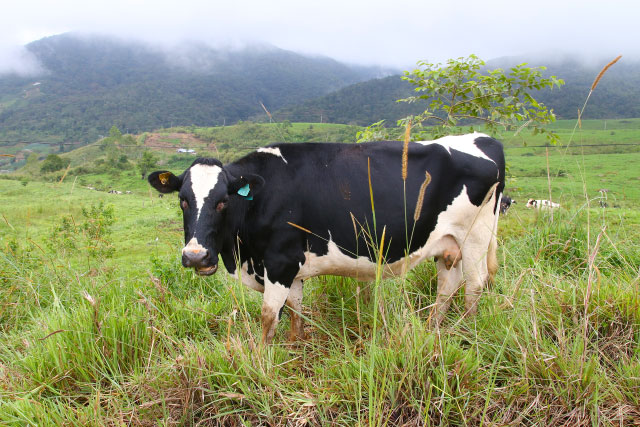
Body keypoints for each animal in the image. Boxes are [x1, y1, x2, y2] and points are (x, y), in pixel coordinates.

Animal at [149, 134, 504, 344]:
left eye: (223, 200)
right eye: (182, 200)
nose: (196, 256)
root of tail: (480, 138)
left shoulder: (280, 261)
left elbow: (268, 317)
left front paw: (263, 362)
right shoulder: (290, 266)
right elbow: (295, 311)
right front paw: (294, 349)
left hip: (475, 237)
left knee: (475, 285)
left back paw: (467, 334)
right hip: (447, 243)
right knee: (448, 286)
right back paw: (433, 331)